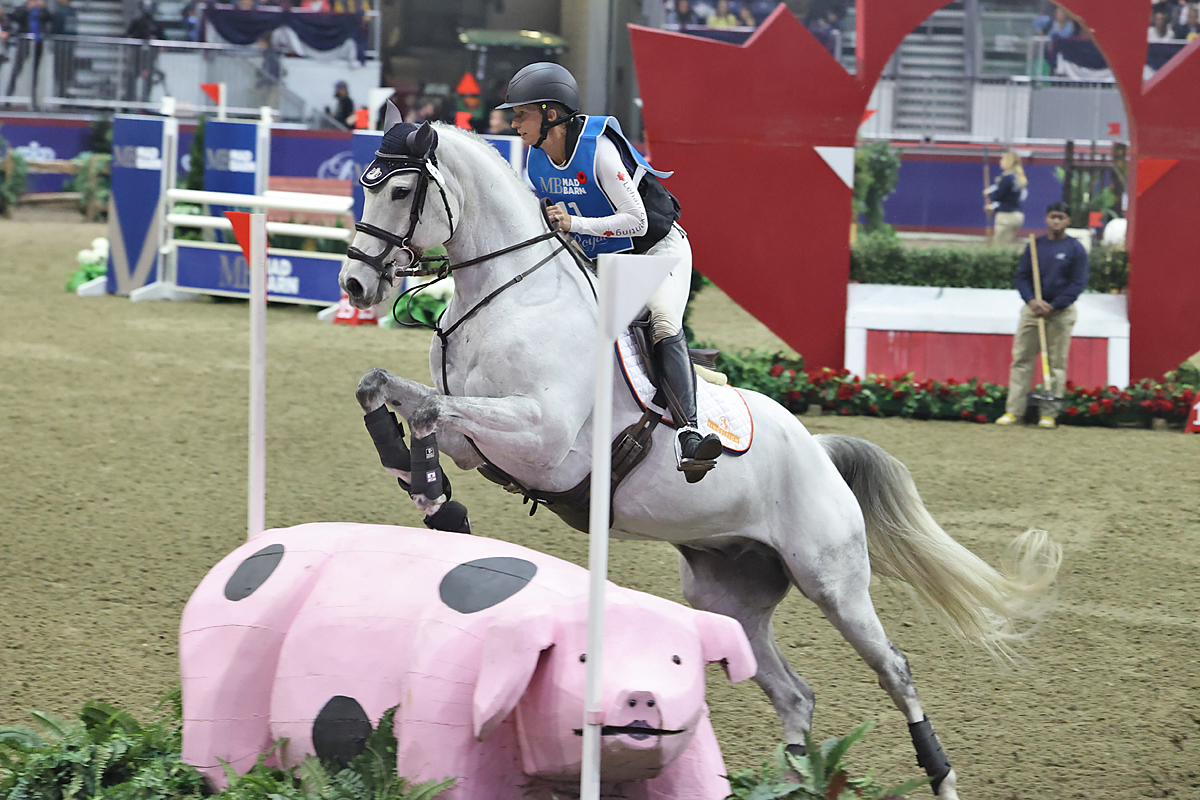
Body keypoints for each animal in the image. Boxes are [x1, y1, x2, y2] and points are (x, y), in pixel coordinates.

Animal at [336, 120, 1060, 800]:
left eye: (398, 190)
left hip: (834, 582)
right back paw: (789, 781)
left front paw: (433, 495)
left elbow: (431, 410)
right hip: (727, 595)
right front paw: (427, 491)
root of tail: (820, 452)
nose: (354, 283)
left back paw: (941, 777)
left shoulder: (543, 438)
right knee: (795, 695)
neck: (508, 297)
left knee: (895, 669)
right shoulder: (484, 436)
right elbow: (394, 393)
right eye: (365, 186)